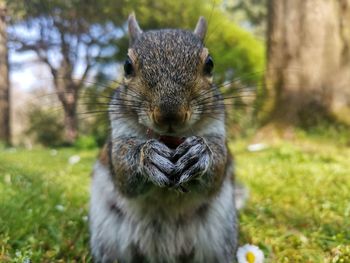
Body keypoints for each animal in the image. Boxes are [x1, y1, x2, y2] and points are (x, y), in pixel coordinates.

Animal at [89, 14, 239, 263]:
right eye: (127, 66)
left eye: (210, 64)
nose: (170, 114)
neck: (169, 139)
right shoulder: (118, 135)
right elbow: (123, 170)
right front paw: (147, 156)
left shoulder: (217, 130)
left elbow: (217, 167)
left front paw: (199, 154)